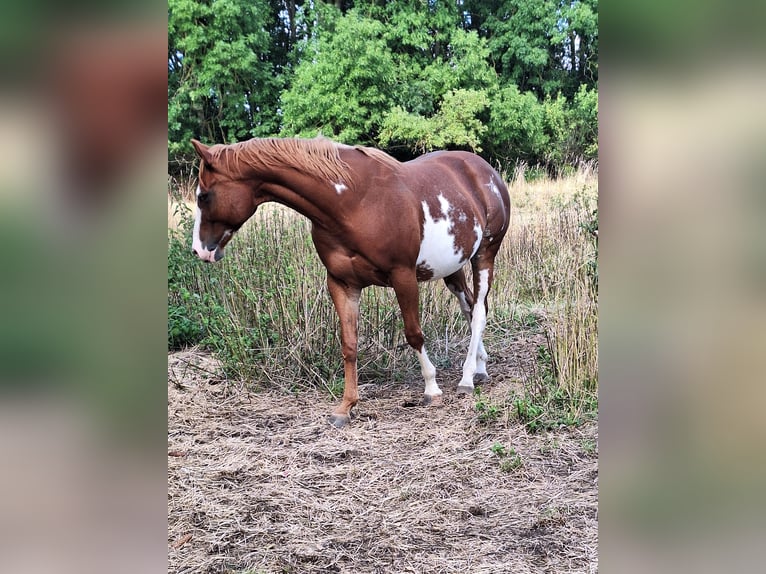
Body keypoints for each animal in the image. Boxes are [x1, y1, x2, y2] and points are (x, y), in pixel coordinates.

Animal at [190, 136, 510, 427]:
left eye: (203, 196)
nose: (199, 250)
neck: (354, 203)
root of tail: (484, 170)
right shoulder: (342, 284)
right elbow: (349, 344)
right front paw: (345, 407)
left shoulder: (403, 275)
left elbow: (414, 334)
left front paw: (431, 390)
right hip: (451, 266)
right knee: (469, 306)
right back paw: (480, 367)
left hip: (484, 254)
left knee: (479, 312)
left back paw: (467, 378)